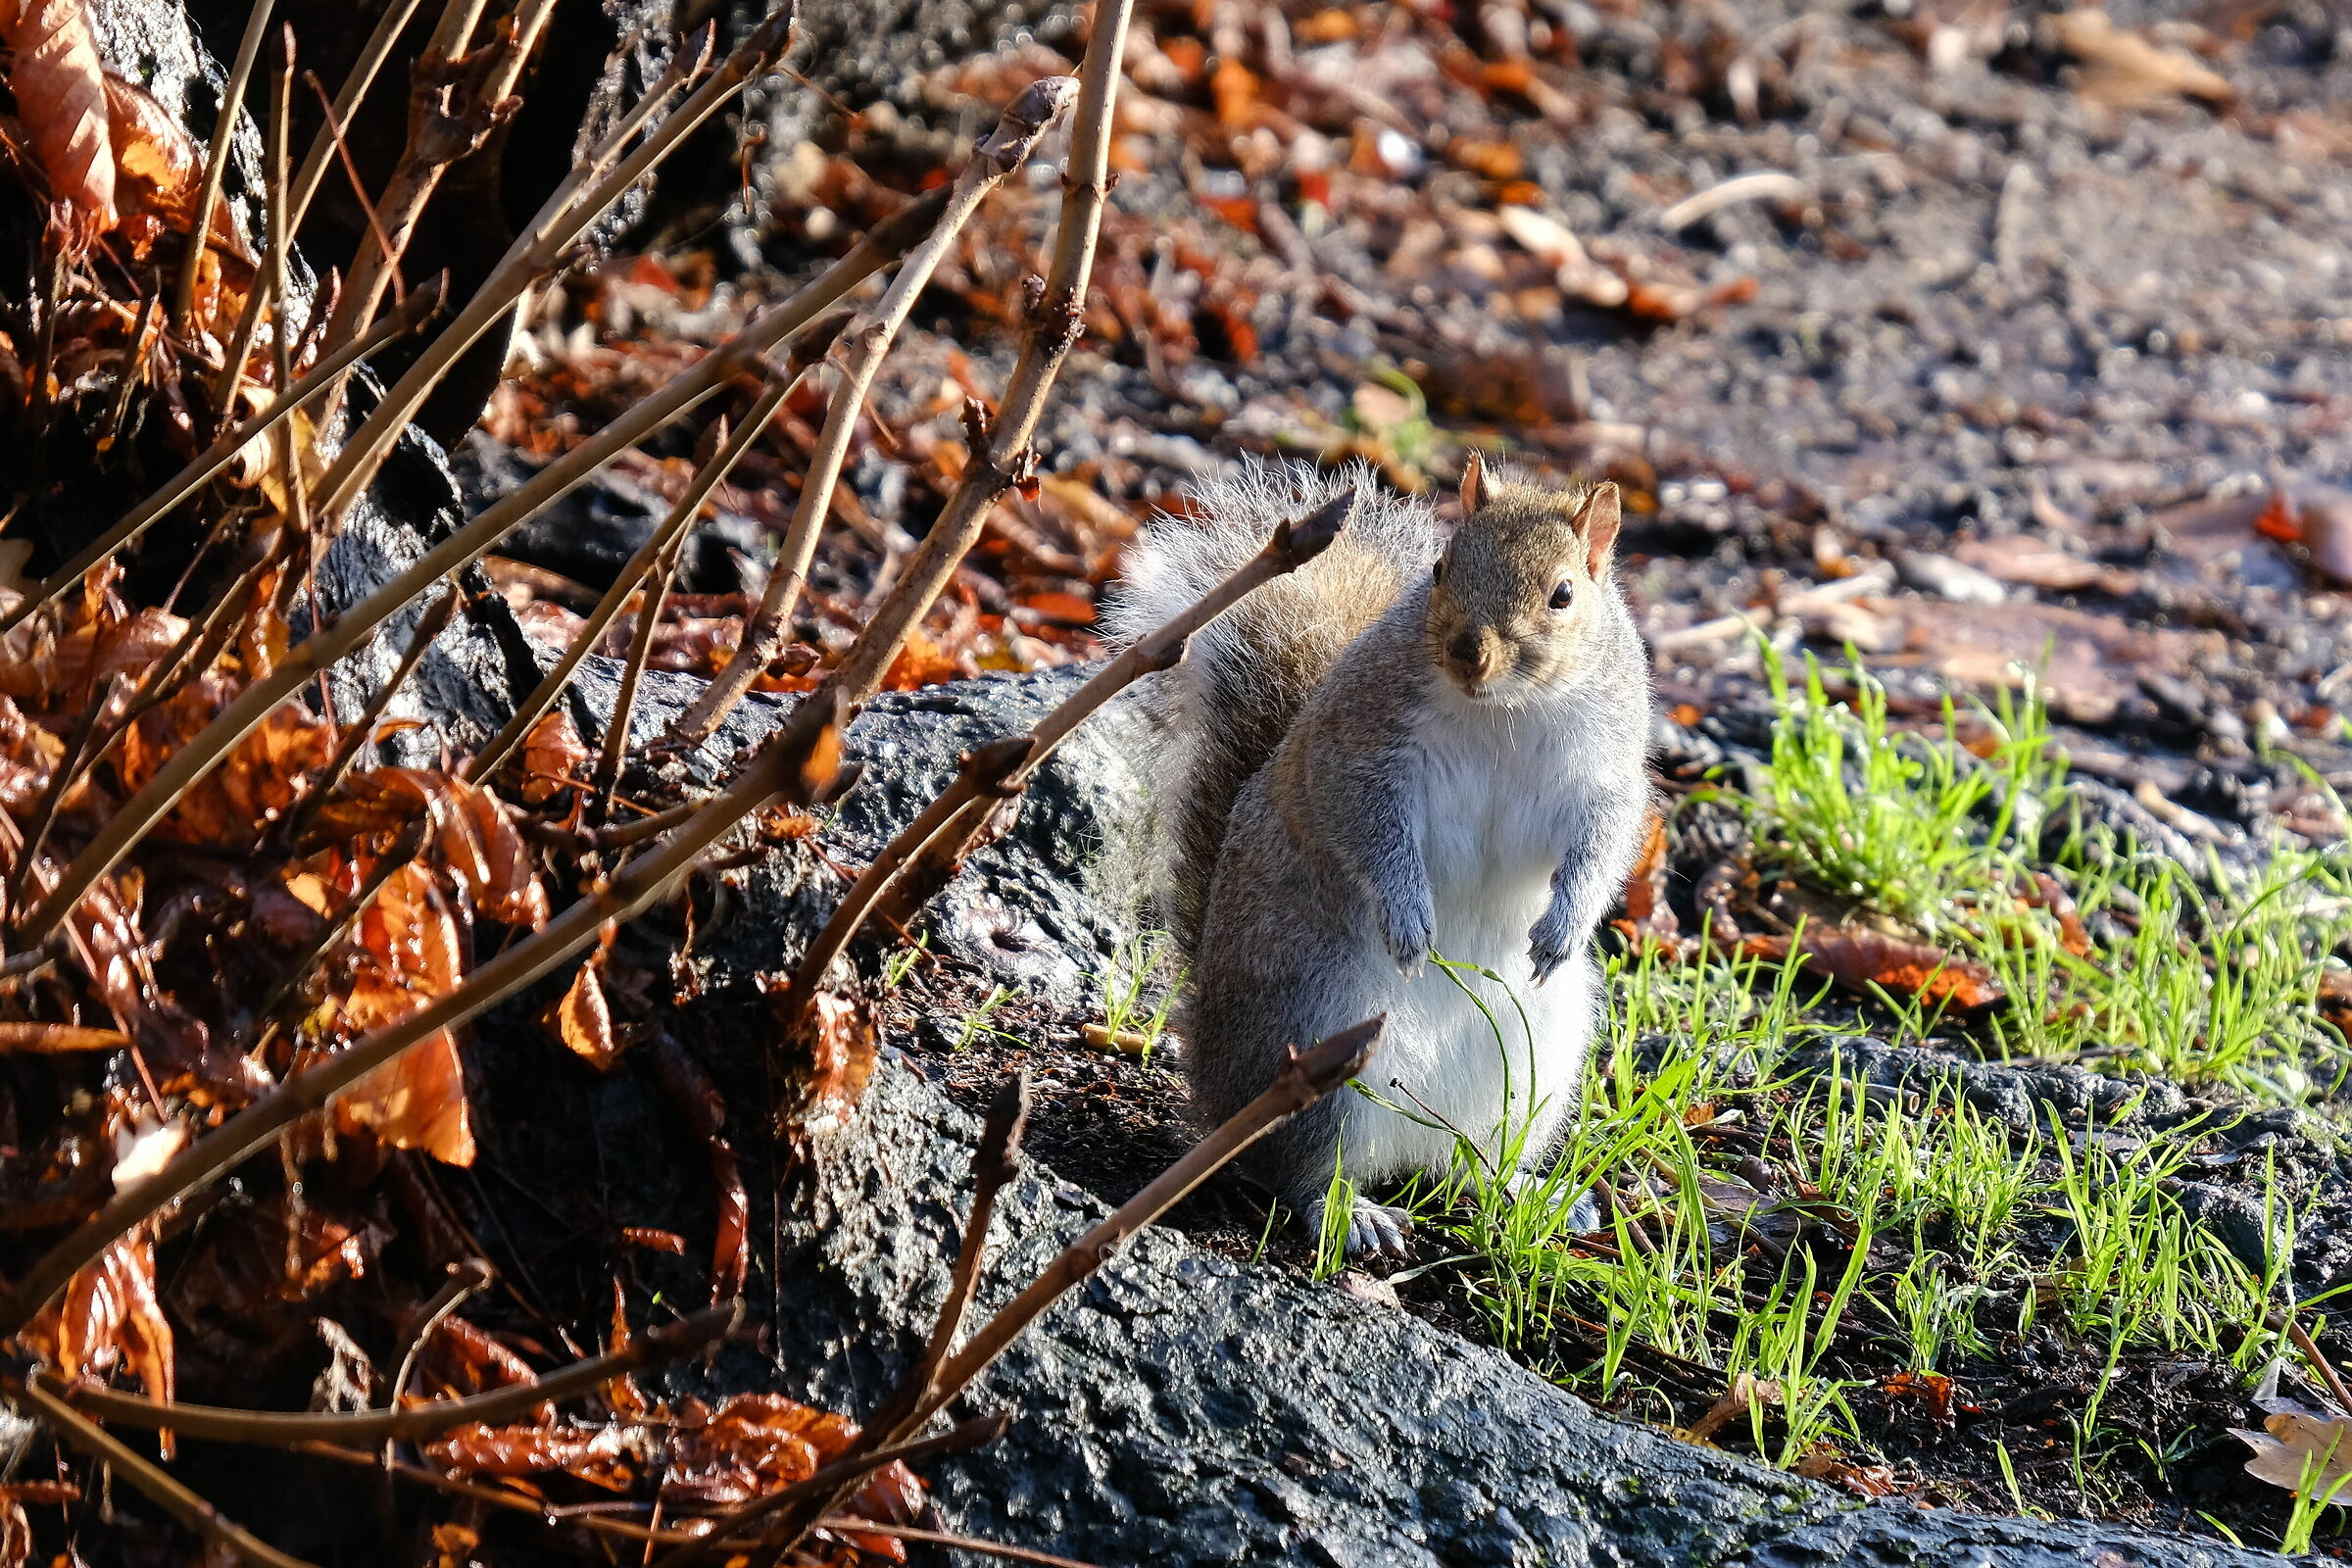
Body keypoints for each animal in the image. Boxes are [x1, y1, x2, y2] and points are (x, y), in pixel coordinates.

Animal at [1104, 455, 1652, 1257]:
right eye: (1442, 568)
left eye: (1563, 595)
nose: (1468, 653)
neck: (1504, 711)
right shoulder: (1360, 750)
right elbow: (1367, 828)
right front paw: (1408, 918)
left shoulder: (1604, 771)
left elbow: (1604, 842)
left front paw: (1564, 927)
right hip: (1316, 1032)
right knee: (1296, 1167)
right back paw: (1348, 1210)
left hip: (1533, 1067)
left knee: (1467, 1162)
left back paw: (1521, 1188)